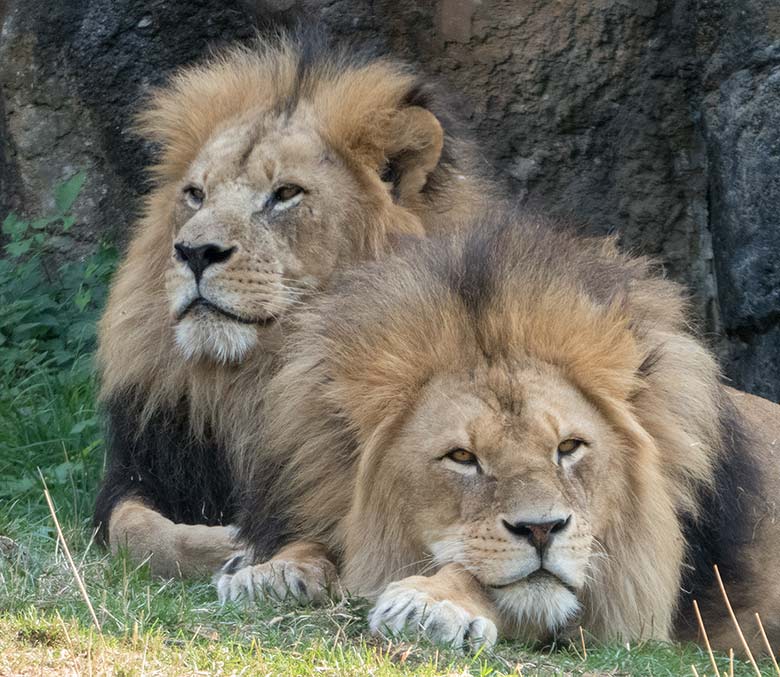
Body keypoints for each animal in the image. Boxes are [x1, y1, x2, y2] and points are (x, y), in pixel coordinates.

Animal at [94, 31, 490, 580]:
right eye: (195, 194)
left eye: (285, 194)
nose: (194, 252)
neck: (253, 387)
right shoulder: (138, 468)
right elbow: (136, 531)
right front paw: (231, 545)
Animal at [218, 213, 780, 656]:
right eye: (462, 457)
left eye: (568, 448)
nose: (542, 530)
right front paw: (272, 573)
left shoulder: (622, 601)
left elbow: (491, 582)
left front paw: (430, 603)